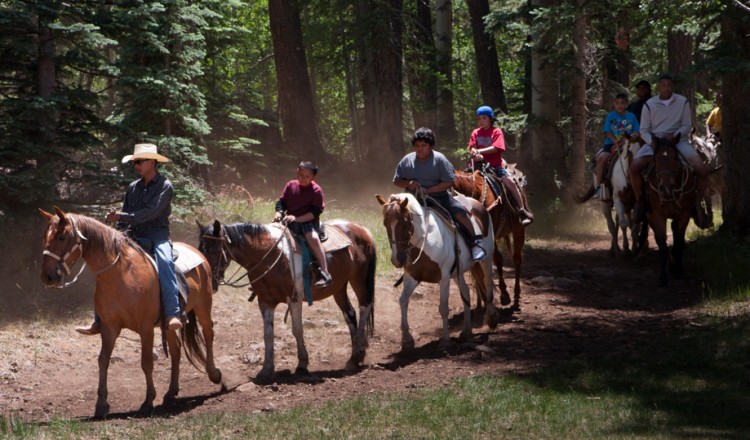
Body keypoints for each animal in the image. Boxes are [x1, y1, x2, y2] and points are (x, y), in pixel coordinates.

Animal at [40, 208, 223, 418]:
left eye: (61, 237)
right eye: (45, 236)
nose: (47, 277)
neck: (122, 274)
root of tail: (197, 252)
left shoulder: (146, 328)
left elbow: (146, 362)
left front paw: (148, 400)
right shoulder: (109, 327)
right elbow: (103, 360)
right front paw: (101, 404)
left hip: (203, 306)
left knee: (208, 334)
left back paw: (215, 374)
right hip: (169, 323)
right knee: (176, 349)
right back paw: (171, 392)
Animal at [198, 218, 376, 384]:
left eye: (214, 249)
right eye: (200, 249)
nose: (209, 281)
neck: (268, 254)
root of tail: (362, 229)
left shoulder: (294, 299)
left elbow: (297, 329)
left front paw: (302, 364)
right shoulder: (265, 301)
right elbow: (268, 334)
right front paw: (266, 370)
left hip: (358, 279)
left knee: (364, 307)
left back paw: (358, 353)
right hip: (339, 287)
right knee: (350, 314)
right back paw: (355, 358)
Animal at [376, 192, 500, 350]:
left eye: (405, 223)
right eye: (385, 223)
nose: (397, 260)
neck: (426, 240)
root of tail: (477, 203)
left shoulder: (444, 278)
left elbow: (443, 308)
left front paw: (445, 341)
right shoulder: (412, 276)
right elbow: (403, 301)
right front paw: (407, 339)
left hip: (487, 259)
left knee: (488, 282)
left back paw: (491, 318)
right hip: (457, 272)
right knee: (465, 293)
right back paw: (466, 330)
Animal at [452, 163, 528, 308]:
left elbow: (497, 259)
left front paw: (503, 294)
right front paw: (482, 300)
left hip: (518, 229)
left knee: (517, 259)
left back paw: (516, 294)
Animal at [644, 137, 704, 288]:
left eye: (675, 158)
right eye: (655, 158)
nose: (665, 188)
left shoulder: (684, 214)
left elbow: (679, 242)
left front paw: (679, 271)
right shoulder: (658, 215)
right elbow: (662, 243)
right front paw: (663, 277)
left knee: (675, 232)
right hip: (650, 216)